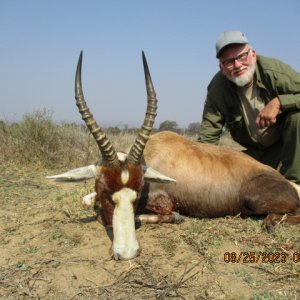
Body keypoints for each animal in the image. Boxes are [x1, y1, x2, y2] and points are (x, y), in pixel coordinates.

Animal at [48, 52, 300, 260]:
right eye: (105, 191)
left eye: (137, 193)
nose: (126, 253)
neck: (153, 152)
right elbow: (87, 201)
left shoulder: (164, 202)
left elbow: (140, 215)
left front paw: (174, 217)